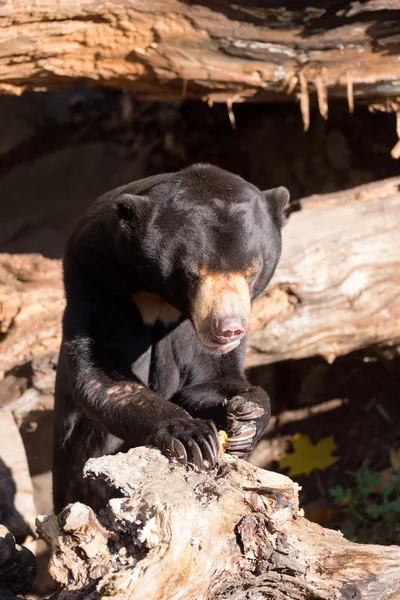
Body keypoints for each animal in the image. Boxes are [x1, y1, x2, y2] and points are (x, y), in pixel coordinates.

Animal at [54, 164, 290, 510]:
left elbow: (210, 376)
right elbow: (103, 375)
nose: (229, 328)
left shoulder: (190, 330)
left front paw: (248, 415)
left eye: (251, 271)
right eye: (194, 273)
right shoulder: (94, 278)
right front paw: (190, 435)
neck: (158, 297)